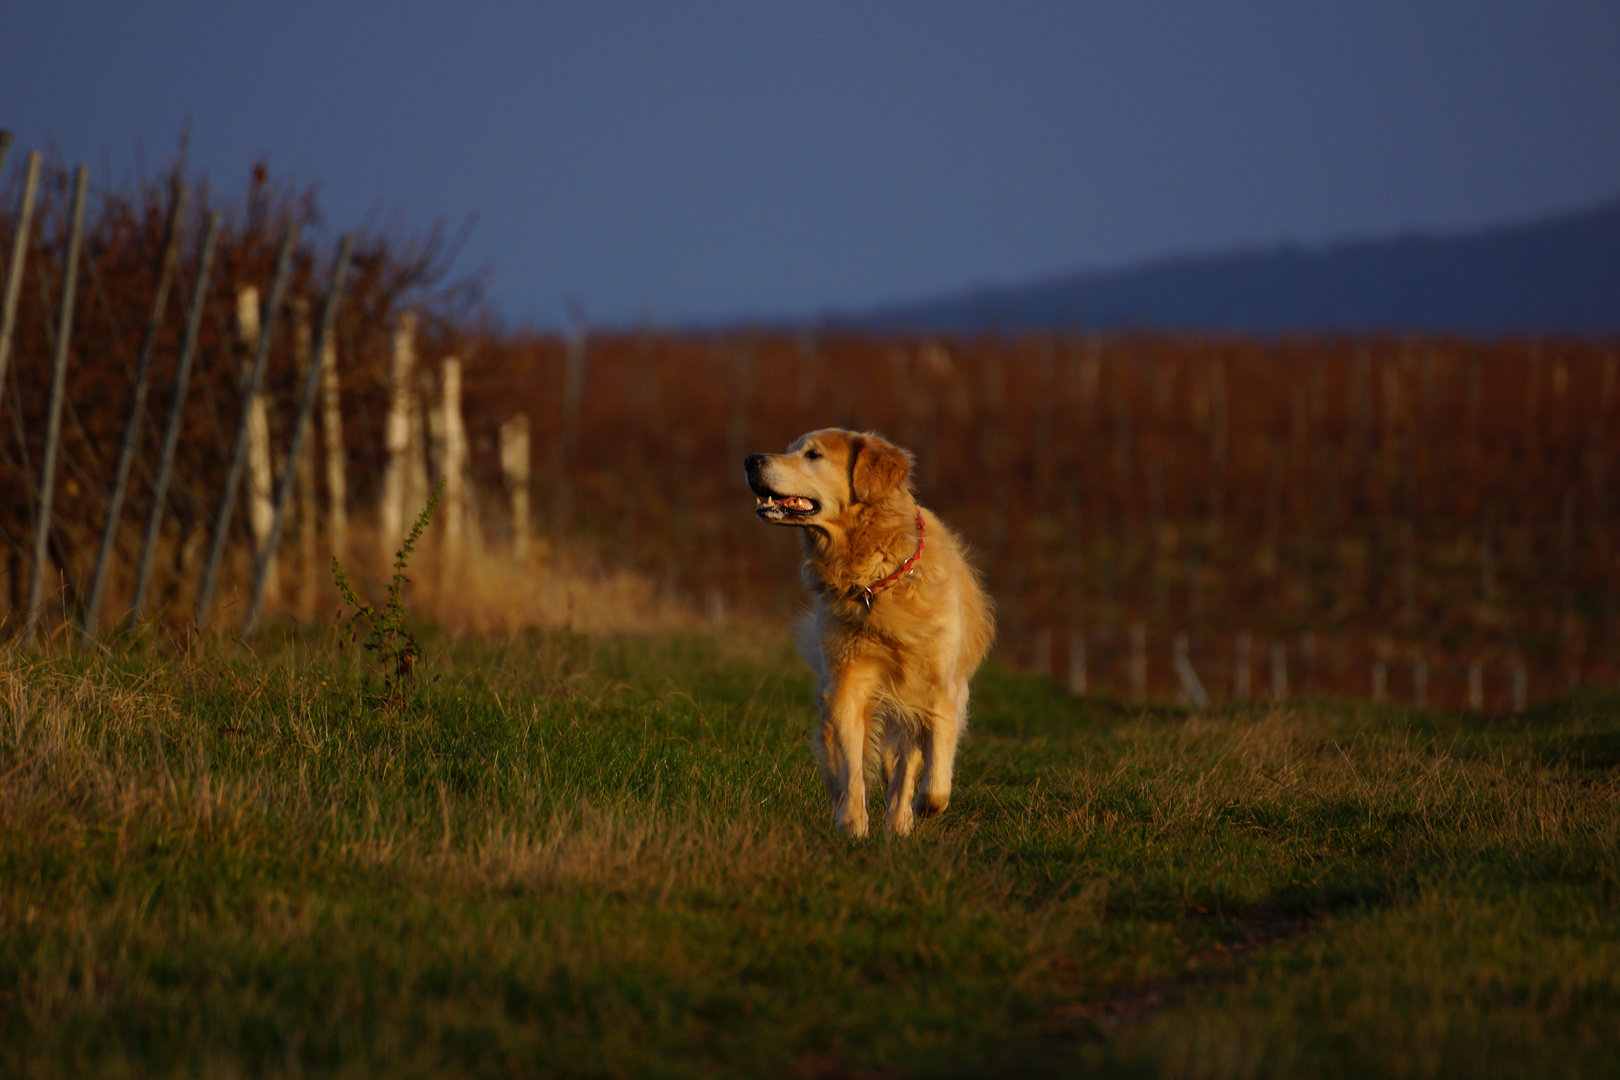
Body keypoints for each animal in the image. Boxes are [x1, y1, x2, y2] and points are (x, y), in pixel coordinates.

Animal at [741, 427, 984, 835]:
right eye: (792, 449)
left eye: (813, 454)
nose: (749, 460)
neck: (875, 577)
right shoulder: (847, 684)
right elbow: (850, 762)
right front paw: (852, 824)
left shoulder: (938, 689)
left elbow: (936, 777)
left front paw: (920, 808)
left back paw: (900, 822)